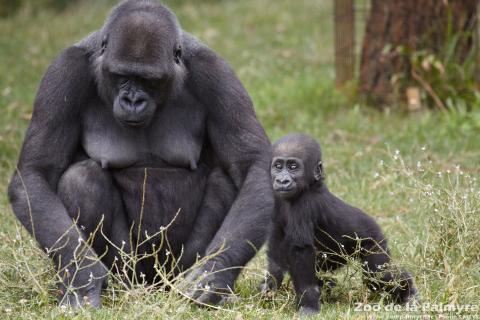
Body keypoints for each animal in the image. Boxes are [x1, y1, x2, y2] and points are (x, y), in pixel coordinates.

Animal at [9, 0, 274, 310]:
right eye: (122, 77)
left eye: (149, 81)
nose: (133, 100)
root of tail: (153, 285)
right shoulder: (64, 71)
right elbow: (36, 172)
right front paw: (82, 276)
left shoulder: (216, 73)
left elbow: (253, 165)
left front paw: (213, 274)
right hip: (131, 273)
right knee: (81, 179)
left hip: (171, 274)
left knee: (225, 182)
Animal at [260, 133, 418, 316]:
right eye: (278, 166)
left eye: (293, 167)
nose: (282, 180)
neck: (310, 185)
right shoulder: (277, 199)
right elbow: (277, 243)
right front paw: (270, 284)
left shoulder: (304, 205)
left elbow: (300, 251)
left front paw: (308, 302)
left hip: (374, 240)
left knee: (378, 275)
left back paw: (408, 291)